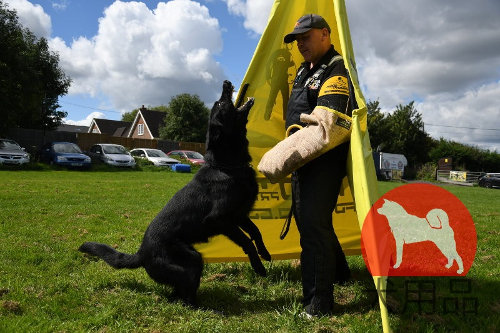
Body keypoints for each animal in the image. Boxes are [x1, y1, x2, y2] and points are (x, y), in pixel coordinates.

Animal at [78, 80, 272, 304]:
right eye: (221, 104)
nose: (226, 83)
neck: (227, 167)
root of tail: (141, 254)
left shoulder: (239, 215)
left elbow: (256, 232)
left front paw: (265, 253)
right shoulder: (220, 219)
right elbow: (247, 241)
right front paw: (259, 267)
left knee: (178, 293)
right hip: (191, 259)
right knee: (184, 295)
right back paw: (203, 306)